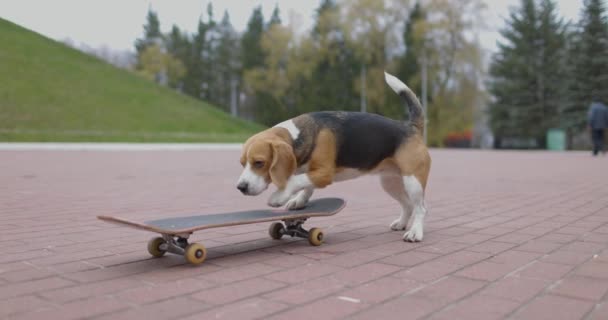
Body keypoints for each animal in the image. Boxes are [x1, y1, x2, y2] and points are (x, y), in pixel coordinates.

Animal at [235, 72, 430, 242]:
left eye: (259, 163)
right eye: (242, 163)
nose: (241, 187)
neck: (299, 135)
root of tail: (412, 127)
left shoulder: (324, 173)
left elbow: (297, 180)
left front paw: (279, 196)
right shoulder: (313, 172)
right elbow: (306, 185)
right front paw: (299, 200)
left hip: (413, 182)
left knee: (420, 208)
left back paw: (415, 232)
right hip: (390, 182)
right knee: (408, 205)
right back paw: (402, 224)